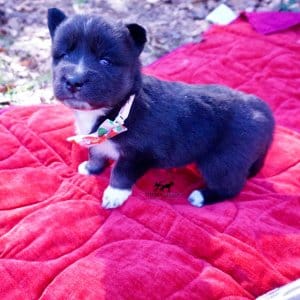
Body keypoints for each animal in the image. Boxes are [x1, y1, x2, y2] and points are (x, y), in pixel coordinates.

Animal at [47, 7, 274, 209]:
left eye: (105, 61)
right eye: (64, 54)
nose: (74, 81)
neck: (120, 109)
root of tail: (263, 110)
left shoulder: (138, 154)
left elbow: (121, 173)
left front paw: (114, 195)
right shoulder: (96, 139)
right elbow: (96, 153)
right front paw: (91, 168)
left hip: (222, 162)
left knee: (231, 187)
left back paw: (201, 197)